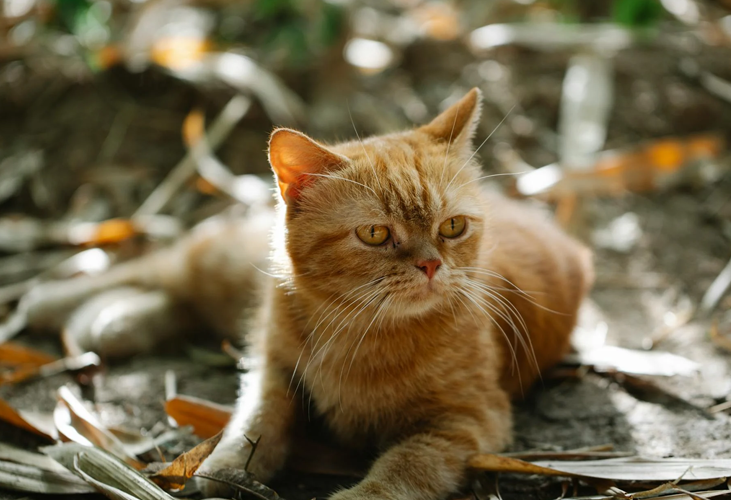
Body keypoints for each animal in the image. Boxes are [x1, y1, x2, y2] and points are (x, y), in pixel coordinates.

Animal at [196, 88, 596, 498]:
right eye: (375, 233)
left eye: (453, 226)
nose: (431, 264)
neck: (358, 333)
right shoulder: (271, 366)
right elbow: (259, 414)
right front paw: (228, 463)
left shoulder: (469, 419)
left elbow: (407, 465)